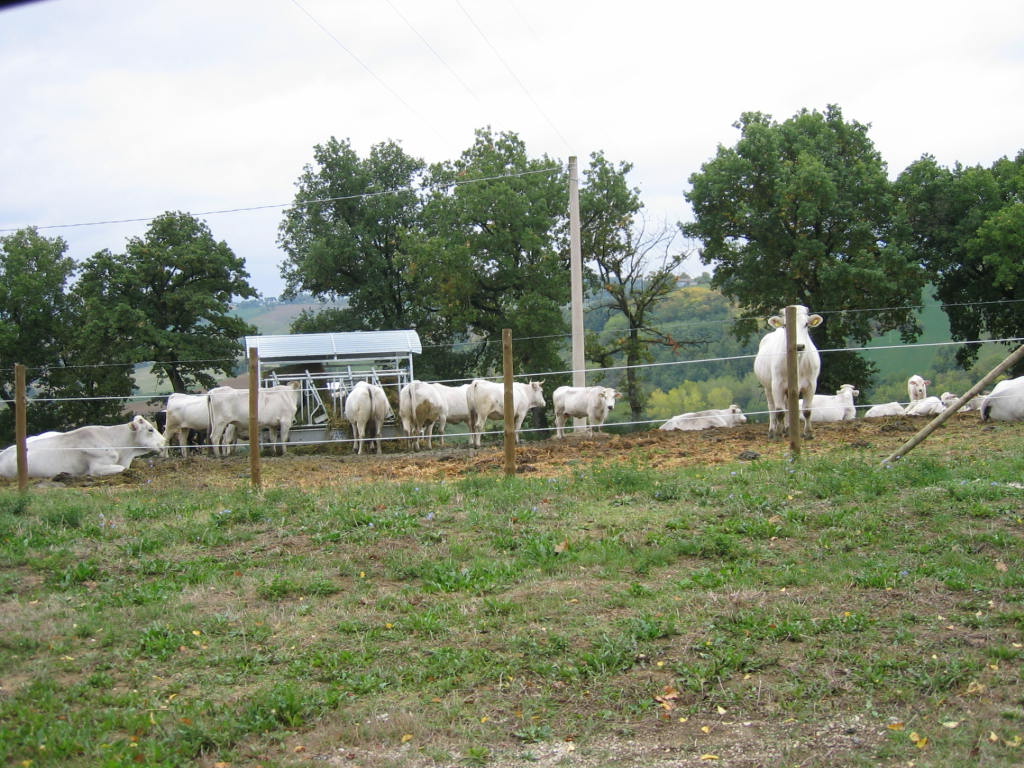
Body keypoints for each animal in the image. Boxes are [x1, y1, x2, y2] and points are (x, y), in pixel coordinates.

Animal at [753, 305, 823, 438]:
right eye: (785, 325)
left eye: (806, 324)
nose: (799, 346)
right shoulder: (777, 384)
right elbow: (779, 411)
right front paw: (778, 434)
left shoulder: (811, 384)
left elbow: (807, 410)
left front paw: (808, 433)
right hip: (767, 387)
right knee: (772, 407)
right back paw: (773, 430)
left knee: (787, 406)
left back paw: (788, 428)